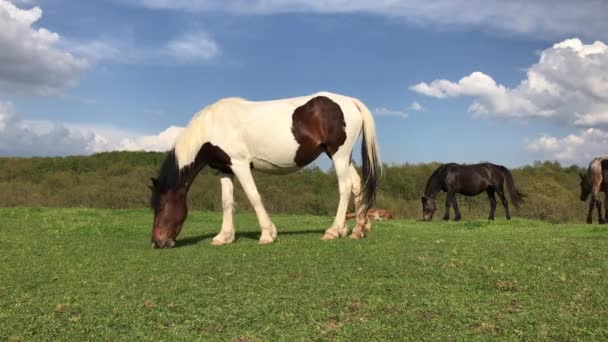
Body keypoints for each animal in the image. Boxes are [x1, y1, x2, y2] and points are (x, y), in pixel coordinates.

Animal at [148, 92, 380, 248]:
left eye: (161, 205)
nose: (157, 242)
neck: (213, 126)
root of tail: (350, 101)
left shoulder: (240, 164)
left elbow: (254, 197)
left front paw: (267, 234)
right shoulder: (225, 170)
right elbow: (226, 203)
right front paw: (224, 237)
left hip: (339, 155)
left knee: (345, 187)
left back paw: (334, 230)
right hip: (342, 157)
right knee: (357, 185)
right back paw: (358, 230)